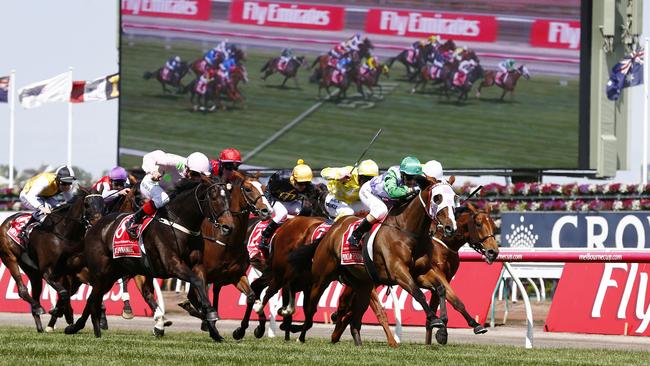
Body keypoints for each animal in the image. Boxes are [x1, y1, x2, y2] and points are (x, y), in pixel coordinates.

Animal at [0, 190, 104, 334]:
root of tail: (7, 220)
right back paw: (39, 308)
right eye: (87, 205)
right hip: (9, 257)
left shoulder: (72, 273)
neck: (63, 234)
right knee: (22, 290)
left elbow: (76, 294)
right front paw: (62, 314)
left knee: (36, 292)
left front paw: (67, 317)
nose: (97, 224)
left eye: (103, 204)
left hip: (33, 272)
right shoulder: (48, 273)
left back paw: (39, 325)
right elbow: (64, 293)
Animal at [63, 177, 234, 340]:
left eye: (228, 197)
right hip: (101, 272)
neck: (180, 224)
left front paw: (214, 331)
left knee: (93, 298)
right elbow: (197, 282)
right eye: (213, 197)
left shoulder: (197, 266)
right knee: (93, 298)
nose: (229, 227)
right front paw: (210, 313)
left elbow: (200, 286)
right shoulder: (173, 265)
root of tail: (95, 226)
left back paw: (77, 327)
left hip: (112, 273)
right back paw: (87, 328)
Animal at [294, 179, 456, 344]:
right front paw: (435, 320)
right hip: (321, 278)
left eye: (455, 197)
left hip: (362, 285)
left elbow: (441, 288)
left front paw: (442, 329)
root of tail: (332, 229)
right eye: (437, 198)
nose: (450, 227)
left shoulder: (420, 273)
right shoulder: (398, 271)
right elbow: (418, 293)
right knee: (311, 307)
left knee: (354, 315)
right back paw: (301, 335)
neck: (407, 232)